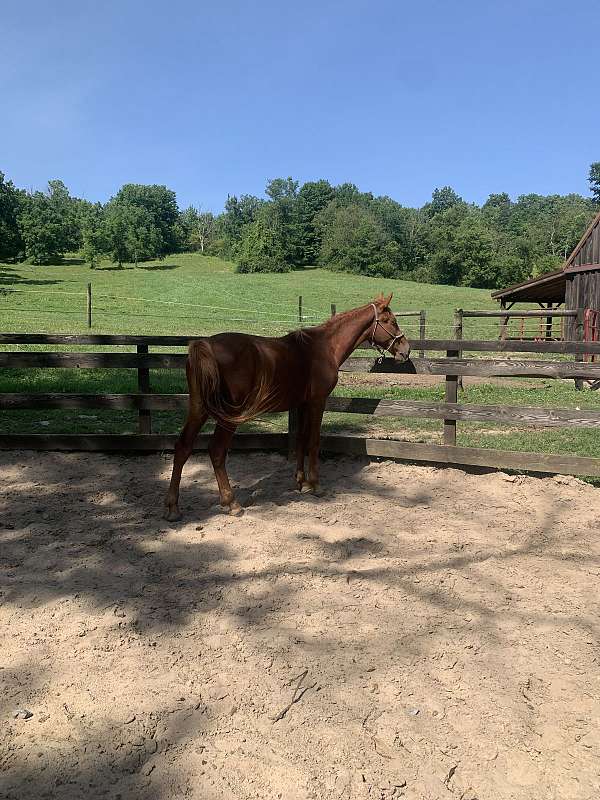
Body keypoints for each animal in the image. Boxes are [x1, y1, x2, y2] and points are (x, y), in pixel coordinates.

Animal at [164, 293, 410, 520]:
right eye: (389, 321)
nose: (405, 350)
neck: (324, 347)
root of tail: (205, 344)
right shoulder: (318, 401)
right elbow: (314, 441)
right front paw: (315, 484)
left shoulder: (302, 404)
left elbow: (300, 439)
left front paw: (301, 482)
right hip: (228, 415)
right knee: (216, 450)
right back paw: (231, 503)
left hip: (198, 408)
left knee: (182, 447)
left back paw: (173, 507)